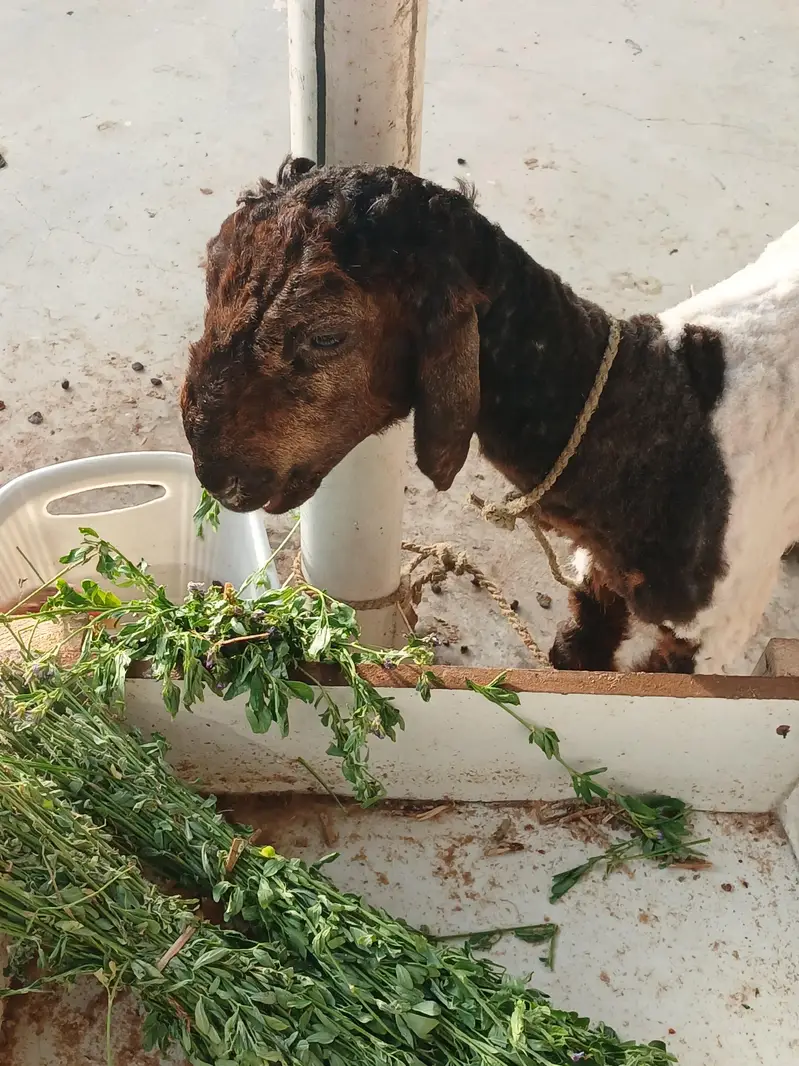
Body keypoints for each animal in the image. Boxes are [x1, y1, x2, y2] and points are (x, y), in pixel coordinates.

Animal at [181, 156, 799, 675]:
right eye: (210, 277)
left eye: (326, 336)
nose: (213, 472)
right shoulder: (597, 575)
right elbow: (578, 655)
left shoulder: (717, 626)